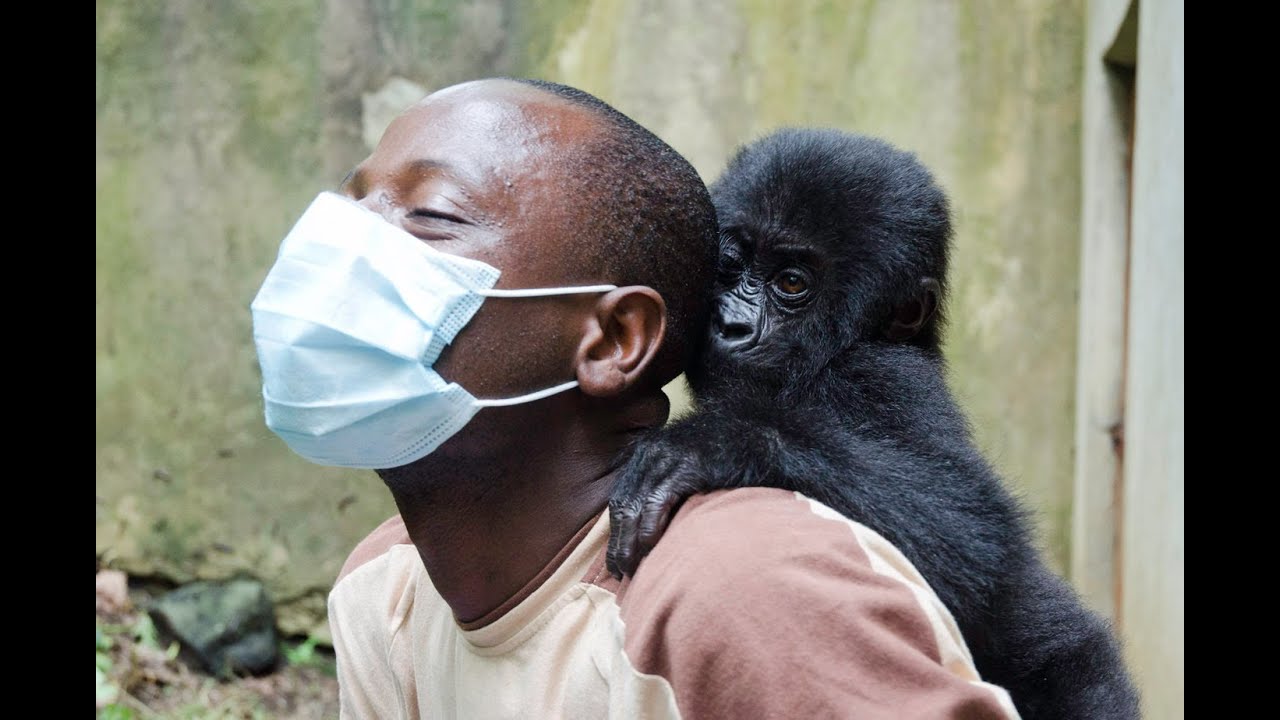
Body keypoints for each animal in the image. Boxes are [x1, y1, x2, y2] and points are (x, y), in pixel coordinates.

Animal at [605, 128, 1140, 719]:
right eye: (728, 265)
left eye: (792, 283)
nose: (730, 324)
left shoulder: (885, 379)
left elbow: (973, 535)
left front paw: (716, 444)